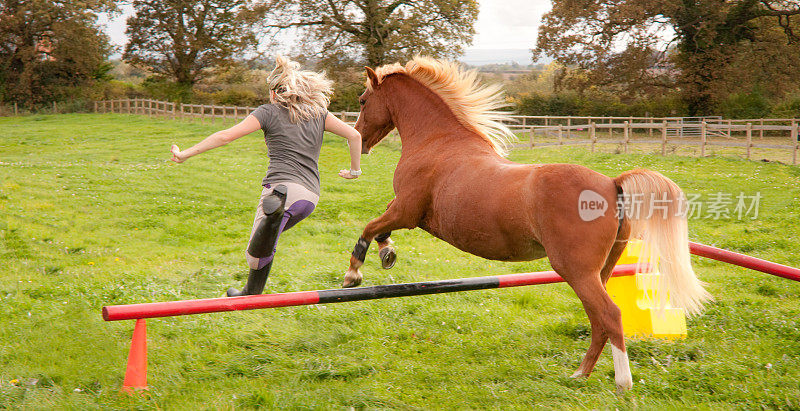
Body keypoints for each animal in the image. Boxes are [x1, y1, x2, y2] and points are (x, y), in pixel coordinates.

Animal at [342, 55, 708, 392]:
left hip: (575, 270)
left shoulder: (407, 211)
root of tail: (612, 183)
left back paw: (622, 383)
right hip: (600, 271)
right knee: (598, 321)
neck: (438, 143)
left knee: (610, 316)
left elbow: (370, 227)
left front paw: (354, 274)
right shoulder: (404, 212)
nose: (359, 138)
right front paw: (387, 252)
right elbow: (380, 227)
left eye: (362, 100)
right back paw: (580, 374)